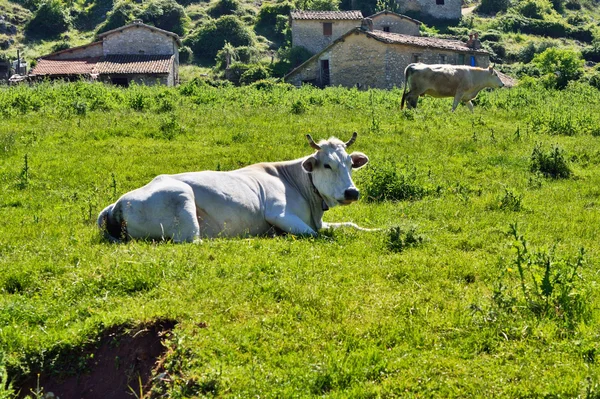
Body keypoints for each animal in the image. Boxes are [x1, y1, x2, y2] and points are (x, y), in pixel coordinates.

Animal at [98, 133, 370, 242]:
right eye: (327, 165)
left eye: (350, 164)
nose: (352, 192)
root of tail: (117, 203)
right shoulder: (279, 213)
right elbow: (315, 234)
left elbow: (351, 225)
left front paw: (376, 230)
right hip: (181, 200)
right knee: (194, 241)